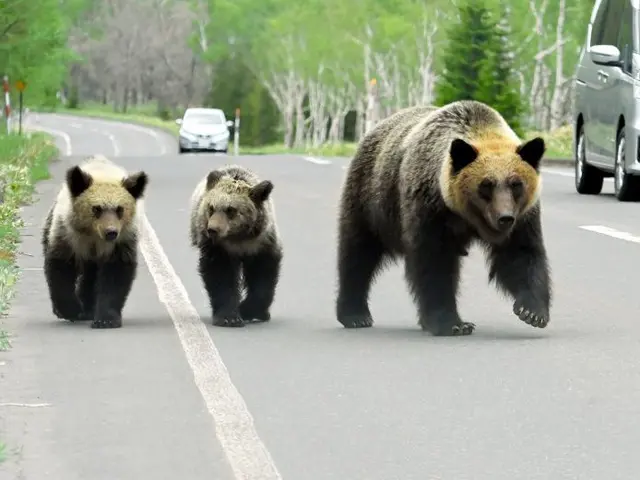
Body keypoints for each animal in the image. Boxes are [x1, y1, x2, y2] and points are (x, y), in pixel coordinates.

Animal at [42, 154, 148, 329]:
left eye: (120, 209)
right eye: (96, 208)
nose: (111, 232)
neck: (94, 236)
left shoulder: (122, 241)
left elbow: (115, 275)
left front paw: (106, 319)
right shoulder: (67, 235)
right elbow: (61, 269)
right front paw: (70, 310)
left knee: (91, 277)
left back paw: (88, 308)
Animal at [189, 164, 283, 327]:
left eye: (231, 209)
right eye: (211, 207)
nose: (212, 229)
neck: (238, 238)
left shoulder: (262, 243)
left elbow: (263, 275)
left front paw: (248, 310)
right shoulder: (218, 248)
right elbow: (220, 276)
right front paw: (229, 317)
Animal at [335, 100, 552, 336]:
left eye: (516, 184)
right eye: (486, 185)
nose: (505, 218)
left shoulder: (524, 217)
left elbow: (521, 254)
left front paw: (532, 311)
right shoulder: (430, 208)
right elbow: (434, 262)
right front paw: (452, 323)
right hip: (371, 198)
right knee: (358, 252)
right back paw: (355, 315)